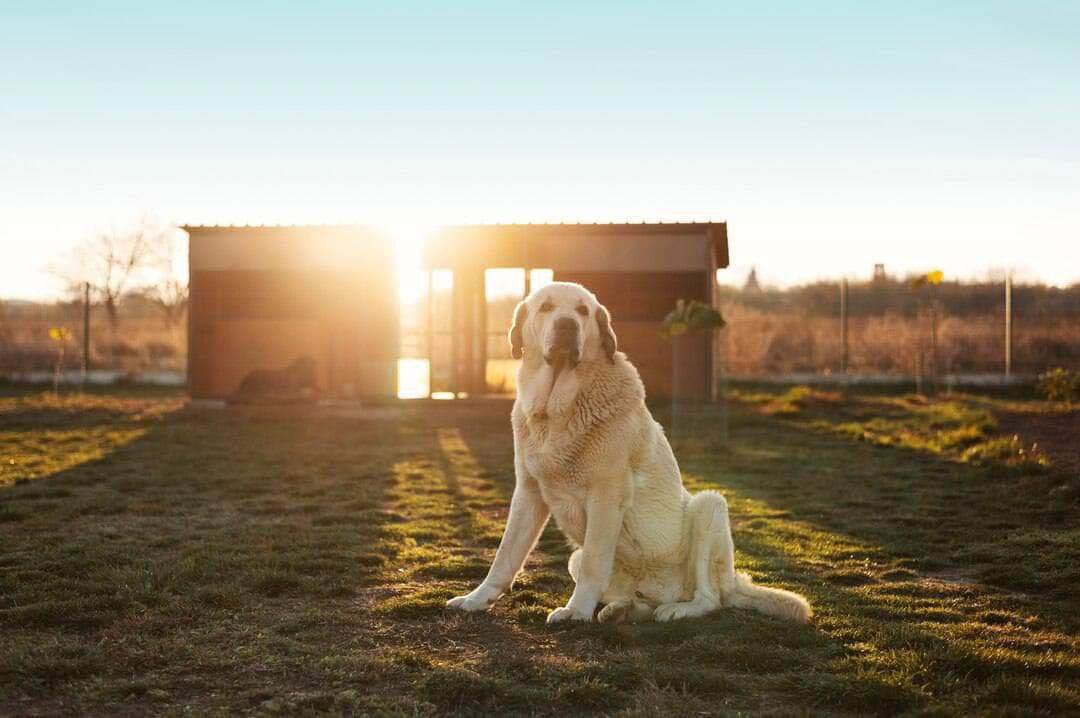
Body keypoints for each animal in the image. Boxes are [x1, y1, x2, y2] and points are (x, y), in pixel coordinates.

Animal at [440, 282, 812, 626]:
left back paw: (677, 609)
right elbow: (505, 556)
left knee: (709, 598)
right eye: (546, 307)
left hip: (710, 507)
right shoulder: (529, 493)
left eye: (583, 311)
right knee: (638, 601)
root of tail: (735, 581)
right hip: (579, 559)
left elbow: (595, 562)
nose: (566, 325)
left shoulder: (606, 497)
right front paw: (476, 599)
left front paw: (576, 611)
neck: (557, 411)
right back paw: (621, 610)